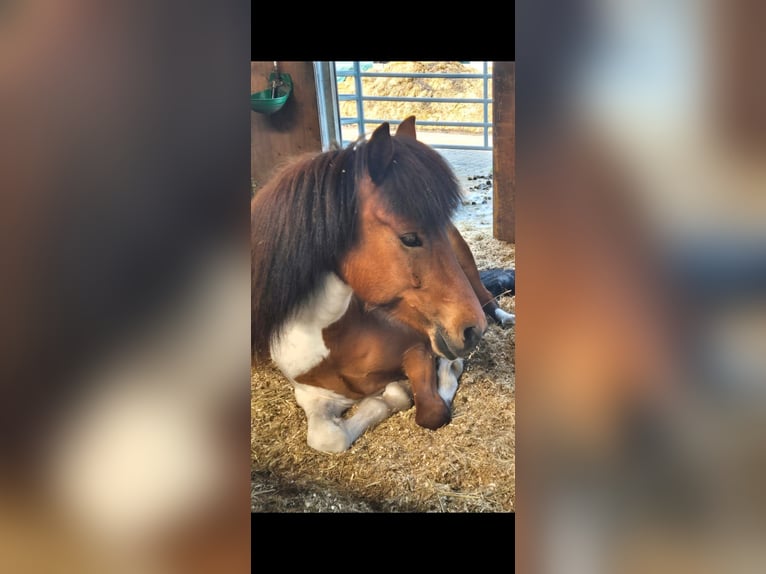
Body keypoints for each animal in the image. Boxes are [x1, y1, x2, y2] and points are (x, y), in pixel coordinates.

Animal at [251, 116, 514, 453]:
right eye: (409, 238)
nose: (472, 330)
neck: (336, 337)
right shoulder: (310, 392)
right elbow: (328, 438)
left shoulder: (419, 348)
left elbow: (431, 409)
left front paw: (440, 375)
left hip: (467, 265)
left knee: (486, 297)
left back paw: (506, 318)